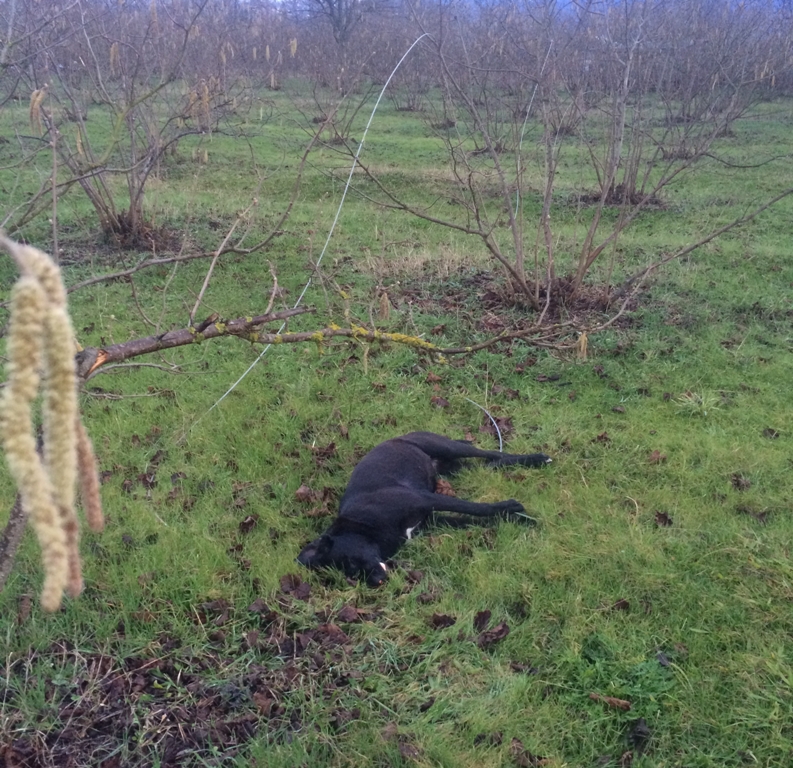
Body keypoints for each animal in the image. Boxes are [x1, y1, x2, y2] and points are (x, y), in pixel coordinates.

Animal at [296, 428, 552, 584]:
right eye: (350, 574)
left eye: (350, 563)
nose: (377, 582)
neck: (363, 524)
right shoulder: (432, 519)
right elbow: (470, 518)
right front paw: (515, 518)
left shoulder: (426, 499)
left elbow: (475, 508)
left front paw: (512, 507)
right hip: (454, 466)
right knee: (489, 463)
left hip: (444, 446)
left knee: (490, 453)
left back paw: (537, 458)